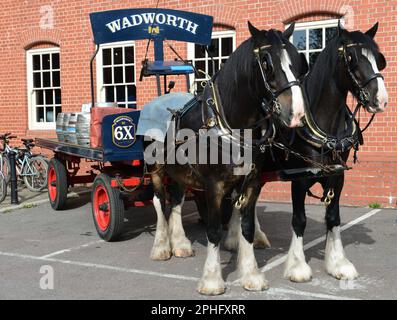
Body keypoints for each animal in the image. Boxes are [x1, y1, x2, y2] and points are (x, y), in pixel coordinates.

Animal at [147, 21, 308, 296]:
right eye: (266, 62)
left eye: (297, 61)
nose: (296, 113)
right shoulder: (214, 185)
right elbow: (213, 230)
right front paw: (212, 280)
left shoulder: (251, 182)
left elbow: (247, 226)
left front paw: (251, 274)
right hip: (156, 169)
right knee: (160, 202)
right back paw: (161, 246)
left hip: (179, 171)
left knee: (176, 200)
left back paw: (180, 243)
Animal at [226, 21, 386, 282]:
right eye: (351, 57)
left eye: (378, 59)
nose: (381, 99)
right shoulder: (299, 178)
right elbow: (299, 220)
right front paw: (297, 266)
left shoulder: (337, 175)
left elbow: (333, 217)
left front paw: (338, 262)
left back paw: (253, 236)